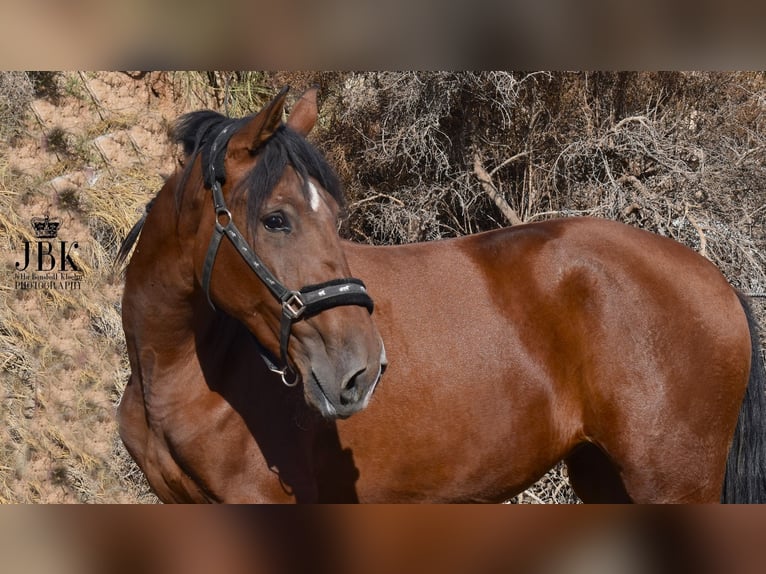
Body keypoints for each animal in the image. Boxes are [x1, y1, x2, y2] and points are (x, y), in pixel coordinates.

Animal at [117, 86, 764, 504]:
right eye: (276, 219)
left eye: (334, 218)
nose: (360, 369)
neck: (176, 373)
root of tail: (716, 278)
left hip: (670, 483)